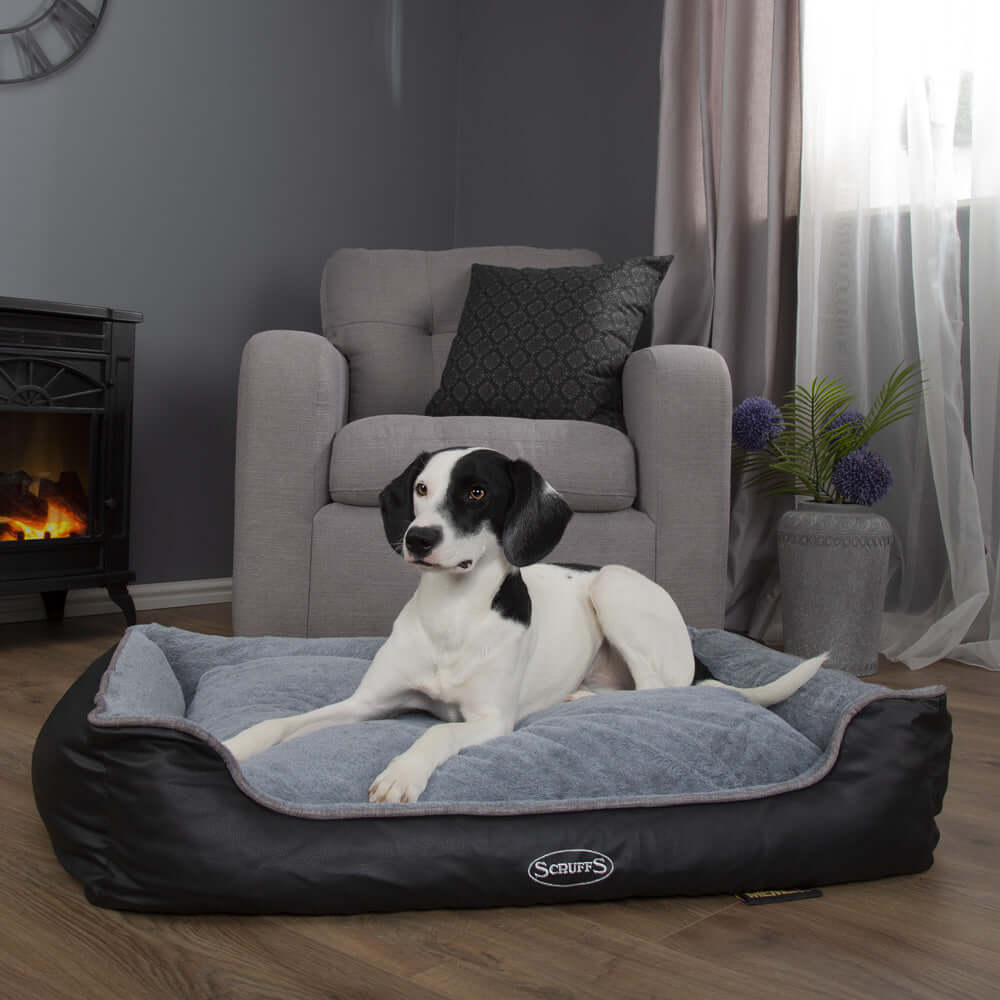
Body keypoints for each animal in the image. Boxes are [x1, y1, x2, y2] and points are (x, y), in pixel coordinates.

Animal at [225, 452, 820, 804]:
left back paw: (581, 698)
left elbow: (437, 731)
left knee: (657, 690)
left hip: (615, 587)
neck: (452, 614)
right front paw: (231, 745)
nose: (417, 538)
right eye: (421, 489)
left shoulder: (490, 721)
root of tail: (697, 659)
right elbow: (278, 723)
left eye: (477, 493)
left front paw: (401, 772)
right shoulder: (366, 703)